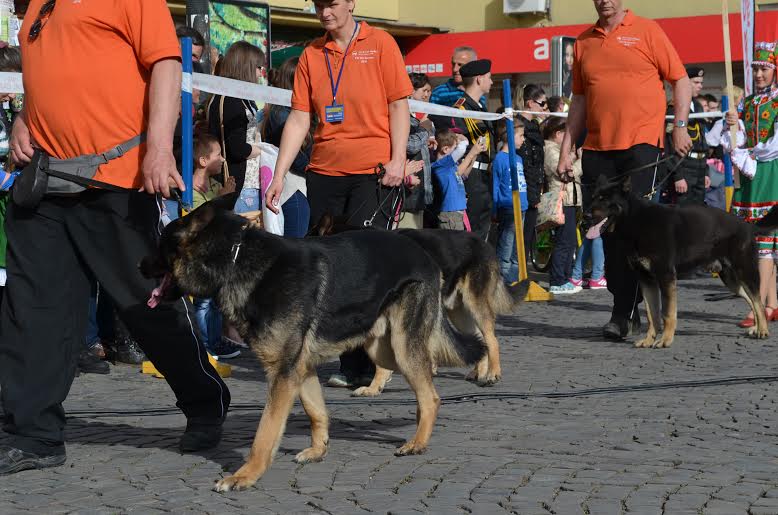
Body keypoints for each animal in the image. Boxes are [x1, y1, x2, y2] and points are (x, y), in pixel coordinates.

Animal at [136, 194, 482, 492]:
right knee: (423, 380)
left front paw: (244, 476)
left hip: (401, 346)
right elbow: (317, 411)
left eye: (160, 243)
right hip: (382, 349)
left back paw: (418, 442)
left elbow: (265, 431)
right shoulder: (299, 369)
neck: (235, 259)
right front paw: (318, 450)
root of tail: (423, 252)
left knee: (431, 395)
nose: (139, 265)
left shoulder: (282, 374)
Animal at [588, 175, 776, 348]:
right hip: (731, 280)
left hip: (745, 272)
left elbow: (667, 313)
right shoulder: (646, 280)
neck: (636, 220)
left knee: (758, 301)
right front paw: (649, 340)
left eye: (604, 199)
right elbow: (652, 314)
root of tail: (746, 225)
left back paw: (763, 330)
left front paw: (665, 340)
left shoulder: (666, 277)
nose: (585, 216)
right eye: (593, 197)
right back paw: (756, 327)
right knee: (751, 300)